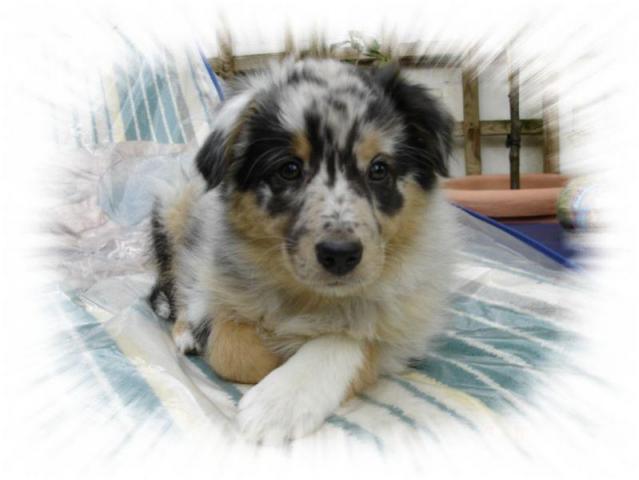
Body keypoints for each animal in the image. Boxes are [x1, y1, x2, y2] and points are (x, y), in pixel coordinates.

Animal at [149, 57, 456, 443]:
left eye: (379, 169)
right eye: (289, 169)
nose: (340, 254)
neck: (310, 296)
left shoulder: (407, 324)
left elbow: (350, 336)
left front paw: (281, 401)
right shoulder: (211, 283)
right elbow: (233, 350)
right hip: (176, 205)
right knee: (173, 285)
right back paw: (186, 333)